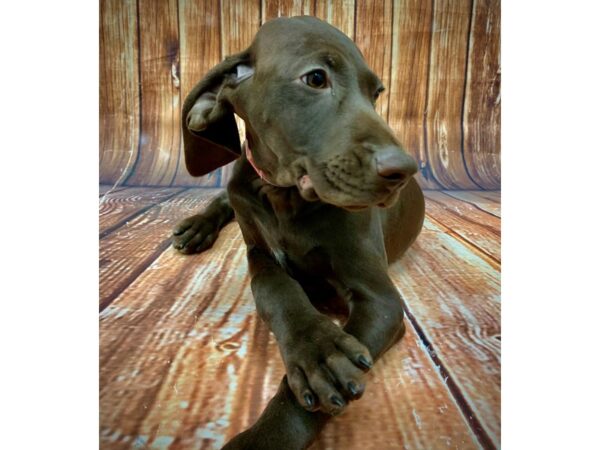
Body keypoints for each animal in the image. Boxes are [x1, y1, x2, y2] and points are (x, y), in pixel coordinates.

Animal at [171, 15, 424, 448]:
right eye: (316, 78)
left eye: (376, 93)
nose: (402, 171)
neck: (283, 195)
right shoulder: (258, 254)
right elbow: (277, 288)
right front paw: (317, 345)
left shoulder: (380, 298)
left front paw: (266, 436)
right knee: (225, 197)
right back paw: (197, 226)